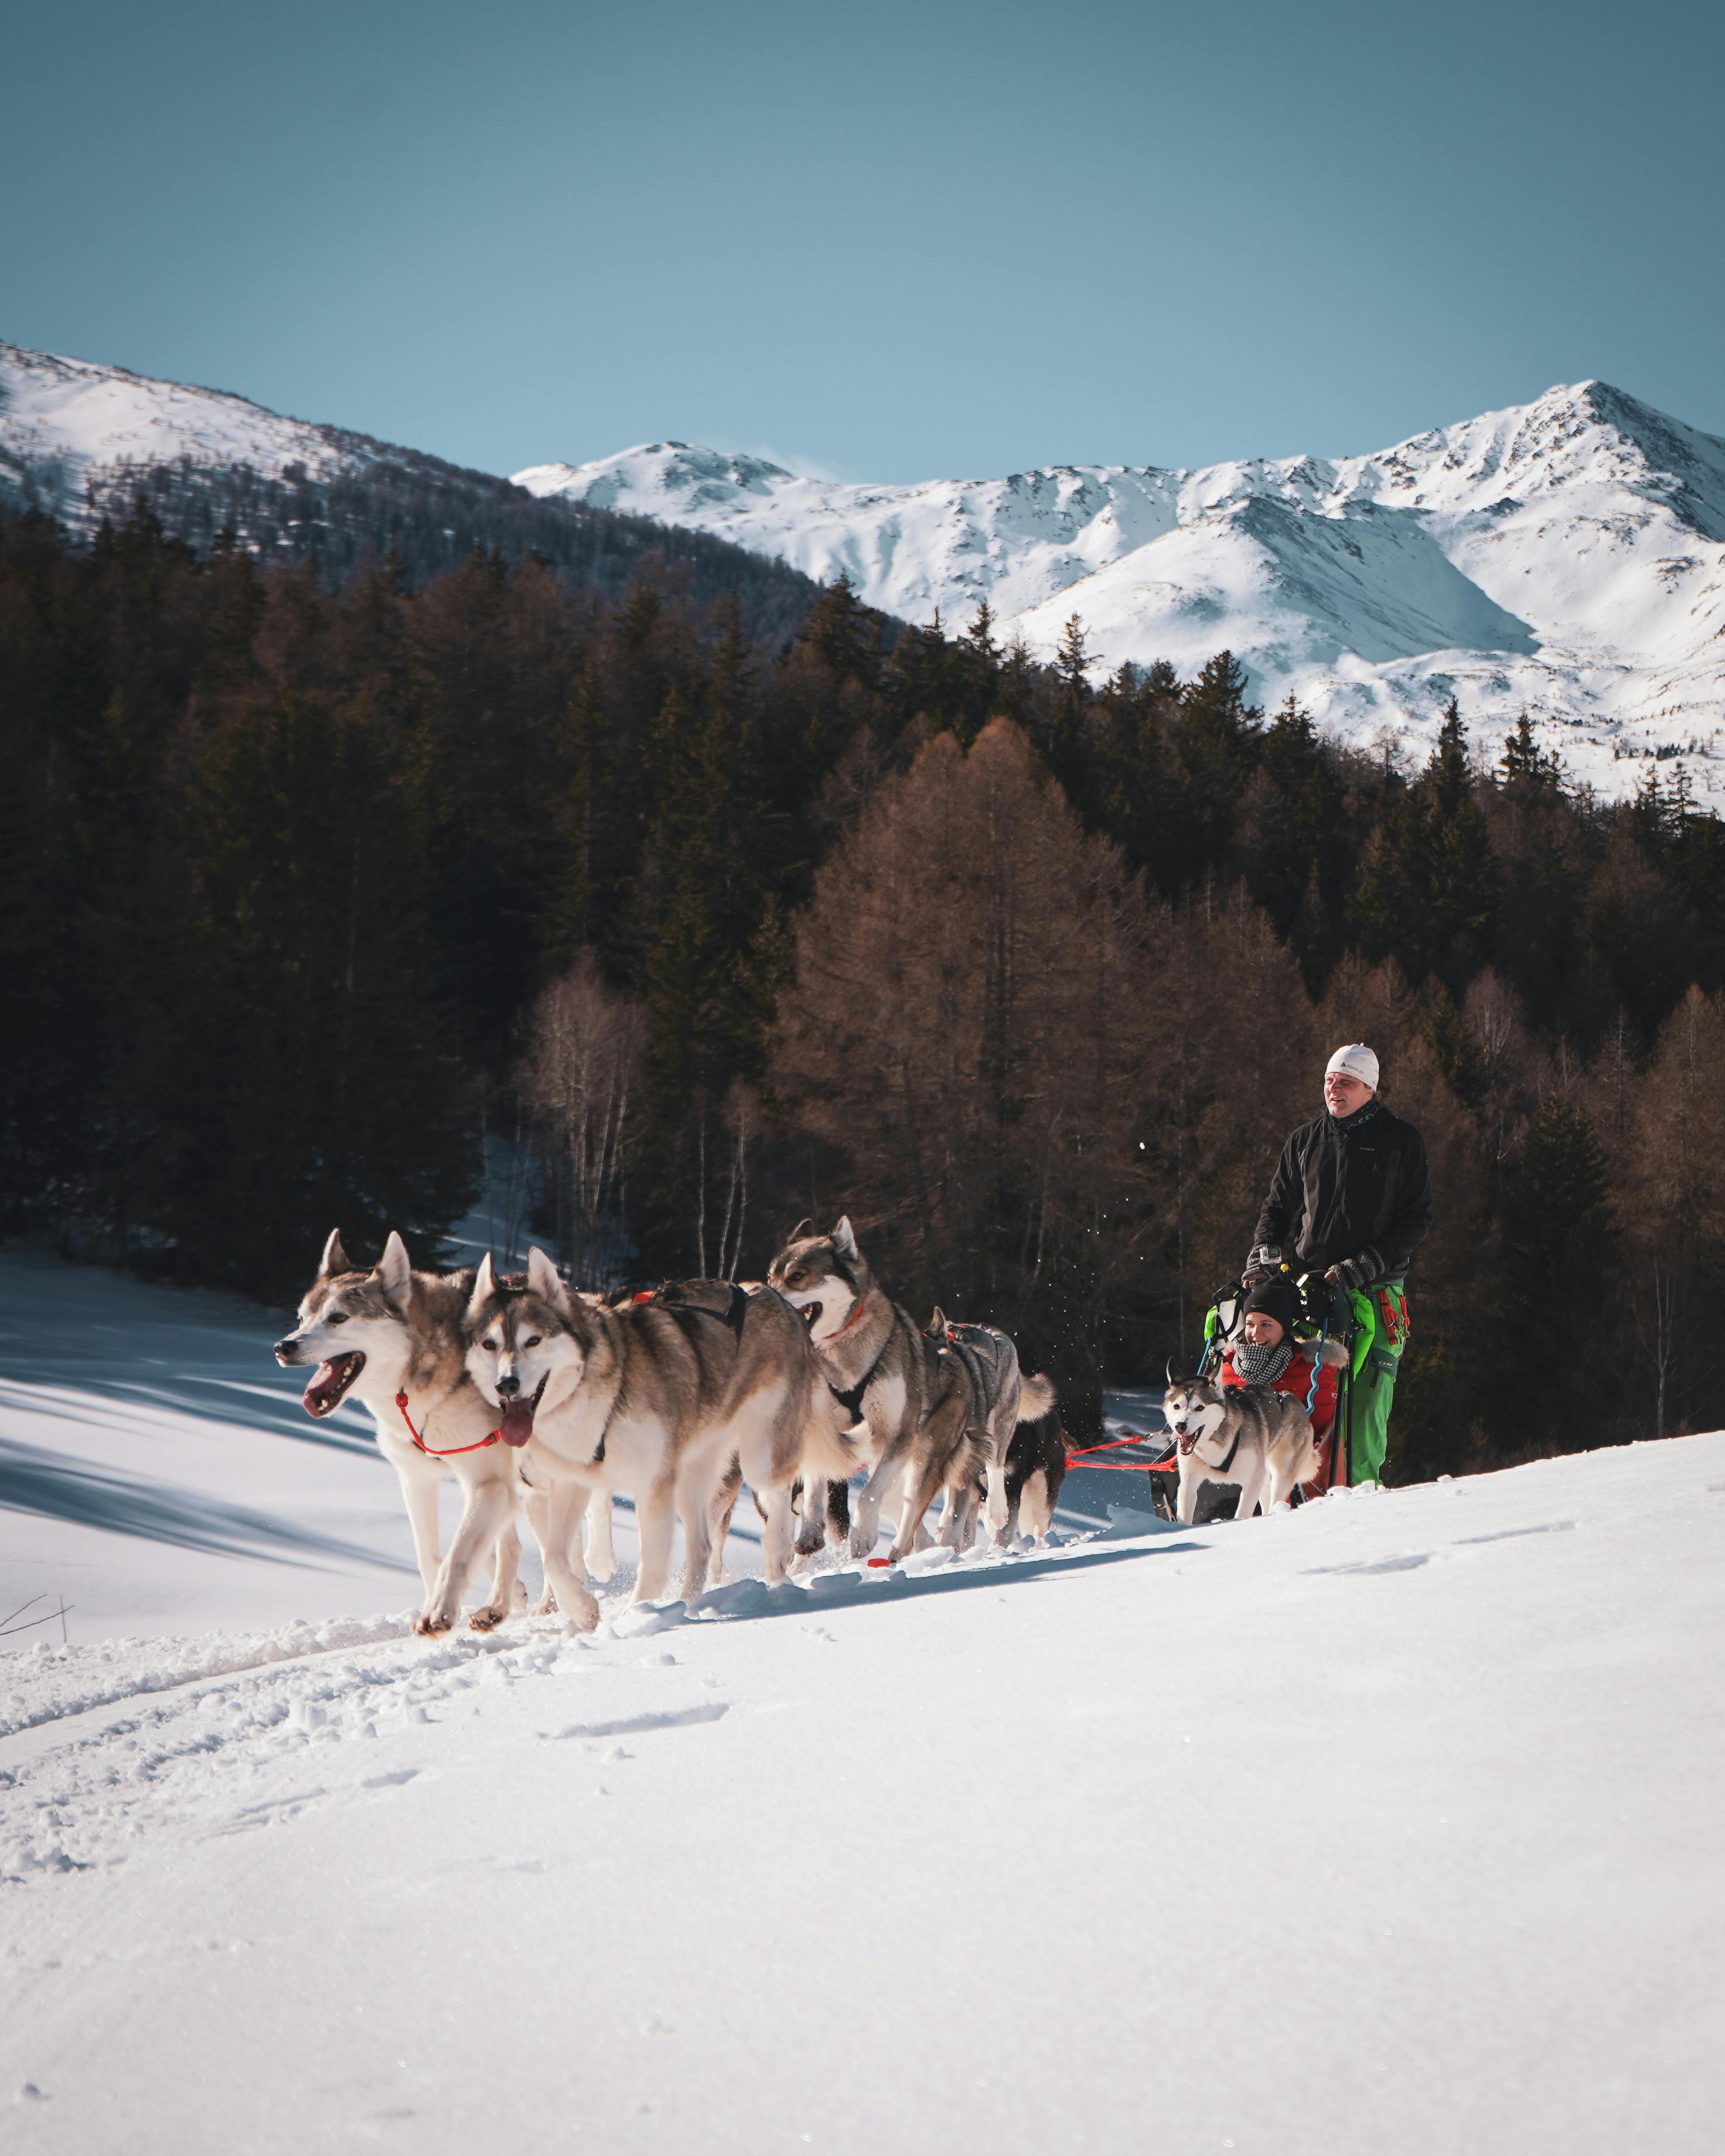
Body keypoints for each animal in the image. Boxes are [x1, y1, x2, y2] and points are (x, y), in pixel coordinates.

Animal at [270, 1233, 521, 1630]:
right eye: (302, 1318)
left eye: (338, 1318)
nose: (283, 1347)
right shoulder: (419, 1479)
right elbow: (434, 1556)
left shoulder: (489, 1481)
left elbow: (459, 1554)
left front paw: (438, 1612)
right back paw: (503, 1606)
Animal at [461, 1241, 858, 1621]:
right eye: (490, 1345)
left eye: (533, 1341)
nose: (506, 1385)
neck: (601, 1392)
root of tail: (779, 1301)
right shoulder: (570, 1481)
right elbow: (555, 1558)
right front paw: (583, 1610)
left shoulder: (653, 1488)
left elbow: (649, 1568)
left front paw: (634, 1617)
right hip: (693, 1474)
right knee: (701, 1546)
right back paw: (687, 1607)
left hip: (759, 1457)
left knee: (778, 1503)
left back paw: (779, 1566)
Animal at [763, 1224, 1052, 1561]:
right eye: (770, 1277)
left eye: (797, 1276)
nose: (764, 1297)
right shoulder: (827, 1428)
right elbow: (818, 1483)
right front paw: (811, 1532)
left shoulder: (899, 1435)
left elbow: (870, 1495)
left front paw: (862, 1535)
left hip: (951, 1445)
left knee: (982, 1472)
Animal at [1155, 1354, 1320, 1526]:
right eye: (1177, 1406)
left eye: (1200, 1407)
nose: (1180, 1426)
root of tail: (1290, 1397)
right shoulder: (1189, 1482)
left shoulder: (1251, 1482)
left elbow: (1241, 1514)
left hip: (1281, 1472)